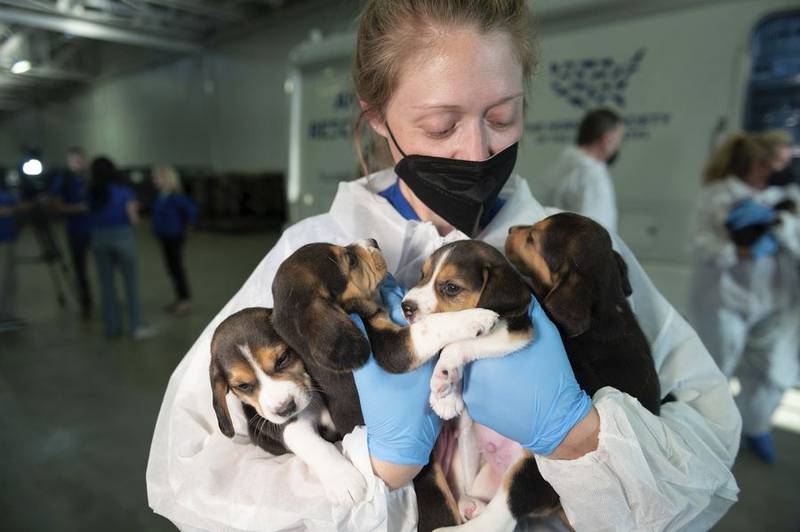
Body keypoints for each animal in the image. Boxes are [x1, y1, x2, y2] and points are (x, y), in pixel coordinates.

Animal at [208, 306, 368, 504]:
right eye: (243, 386)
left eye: (282, 359)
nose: (286, 409)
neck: (312, 405)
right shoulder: (287, 426)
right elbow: (315, 446)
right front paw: (344, 480)